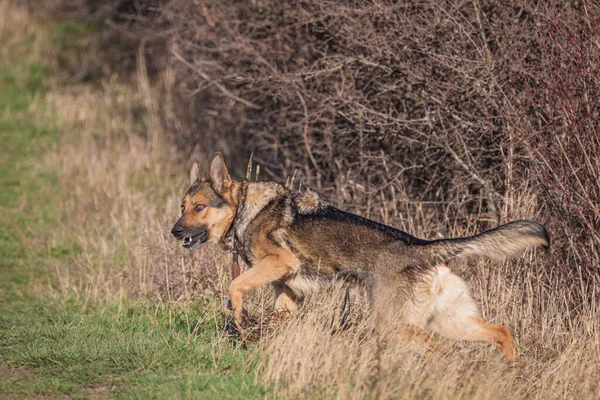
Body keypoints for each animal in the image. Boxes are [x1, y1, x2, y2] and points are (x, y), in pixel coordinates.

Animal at [172, 152, 548, 360]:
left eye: (199, 208)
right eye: (182, 207)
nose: (175, 231)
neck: (245, 209)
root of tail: (421, 246)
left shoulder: (281, 263)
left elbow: (235, 286)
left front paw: (239, 317)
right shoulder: (288, 293)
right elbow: (272, 318)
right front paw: (252, 332)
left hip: (396, 325)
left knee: (442, 351)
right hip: (450, 321)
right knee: (501, 332)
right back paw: (513, 373)